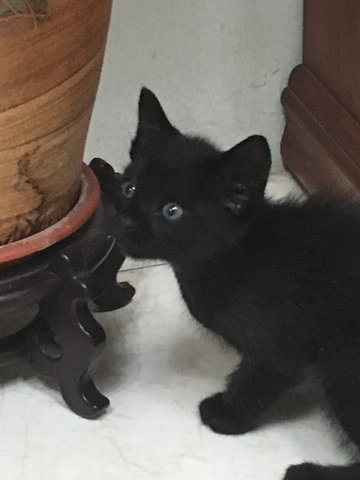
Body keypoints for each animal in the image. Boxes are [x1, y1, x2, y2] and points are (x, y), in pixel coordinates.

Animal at [119, 87, 360, 480]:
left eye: (172, 211)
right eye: (130, 187)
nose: (123, 222)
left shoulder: (283, 343)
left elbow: (256, 378)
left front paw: (225, 415)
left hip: (343, 362)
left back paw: (307, 472)